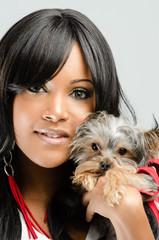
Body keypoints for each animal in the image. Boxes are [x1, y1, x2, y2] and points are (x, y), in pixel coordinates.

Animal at [70, 111, 159, 239]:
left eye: (122, 151)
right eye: (94, 146)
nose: (105, 164)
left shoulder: (149, 180)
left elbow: (117, 171)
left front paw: (112, 192)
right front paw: (85, 177)